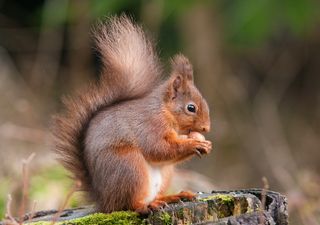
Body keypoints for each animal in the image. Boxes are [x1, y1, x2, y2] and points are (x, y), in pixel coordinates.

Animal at [53, 16, 212, 214]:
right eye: (191, 108)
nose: (206, 128)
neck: (164, 111)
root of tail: (104, 202)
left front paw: (205, 144)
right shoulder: (149, 126)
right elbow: (158, 148)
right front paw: (194, 144)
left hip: (165, 173)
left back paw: (172, 197)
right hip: (129, 166)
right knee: (131, 204)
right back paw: (148, 205)